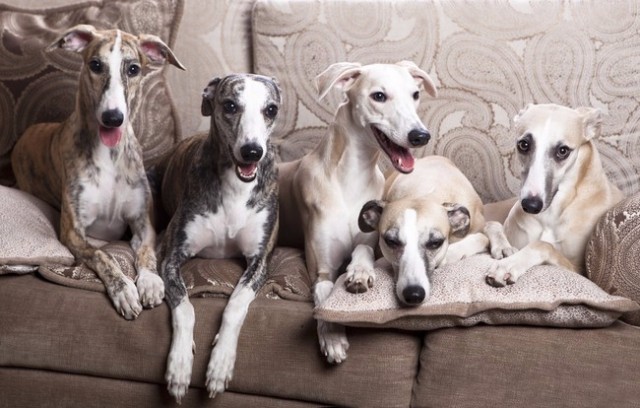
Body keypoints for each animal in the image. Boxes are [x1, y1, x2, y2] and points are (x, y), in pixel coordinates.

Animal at [11, 25, 184, 319]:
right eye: (95, 65)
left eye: (133, 69)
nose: (113, 118)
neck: (109, 155)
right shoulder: (73, 233)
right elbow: (104, 255)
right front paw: (123, 289)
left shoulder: (143, 224)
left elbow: (147, 253)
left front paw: (150, 282)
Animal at [157, 74, 281, 402]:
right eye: (230, 106)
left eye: (271, 110)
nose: (252, 151)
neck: (235, 185)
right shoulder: (171, 258)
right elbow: (185, 308)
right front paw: (179, 366)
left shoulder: (259, 262)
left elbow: (235, 306)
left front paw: (220, 365)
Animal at [278, 61, 437, 364]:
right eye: (379, 96)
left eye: (415, 94)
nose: (421, 136)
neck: (351, 177)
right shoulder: (321, 269)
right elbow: (323, 298)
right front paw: (332, 337)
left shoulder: (371, 238)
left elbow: (362, 250)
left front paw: (360, 272)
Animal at [485, 103, 624, 286]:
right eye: (524, 144)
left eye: (563, 150)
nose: (530, 205)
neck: (550, 215)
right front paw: (505, 251)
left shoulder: (580, 271)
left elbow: (543, 245)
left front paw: (508, 265)